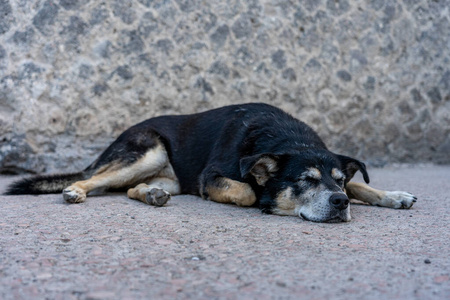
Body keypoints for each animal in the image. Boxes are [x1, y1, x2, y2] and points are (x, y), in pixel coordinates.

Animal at [5, 103, 416, 223]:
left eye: (337, 181)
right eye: (306, 179)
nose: (340, 203)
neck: (285, 137)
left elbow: (363, 183)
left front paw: (392, 195)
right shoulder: (210, 177)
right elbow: (248, 192)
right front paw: (263, 198)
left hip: (169, 175)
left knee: (130, 188)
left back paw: (151, 194)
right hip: (149, 149)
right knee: (96, 178)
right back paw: (74, 189)